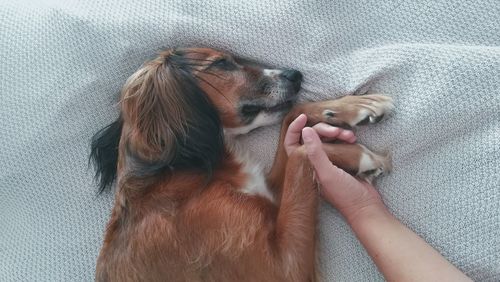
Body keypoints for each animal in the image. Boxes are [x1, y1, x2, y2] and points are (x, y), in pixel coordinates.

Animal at [91, 47, 394, 280]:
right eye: (222, 63)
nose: (295, 75)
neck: (180, 171)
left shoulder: (271, 197)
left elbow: (293, 117)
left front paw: (357, 106)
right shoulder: (282, 270)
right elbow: (302, 150)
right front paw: (363, 156)